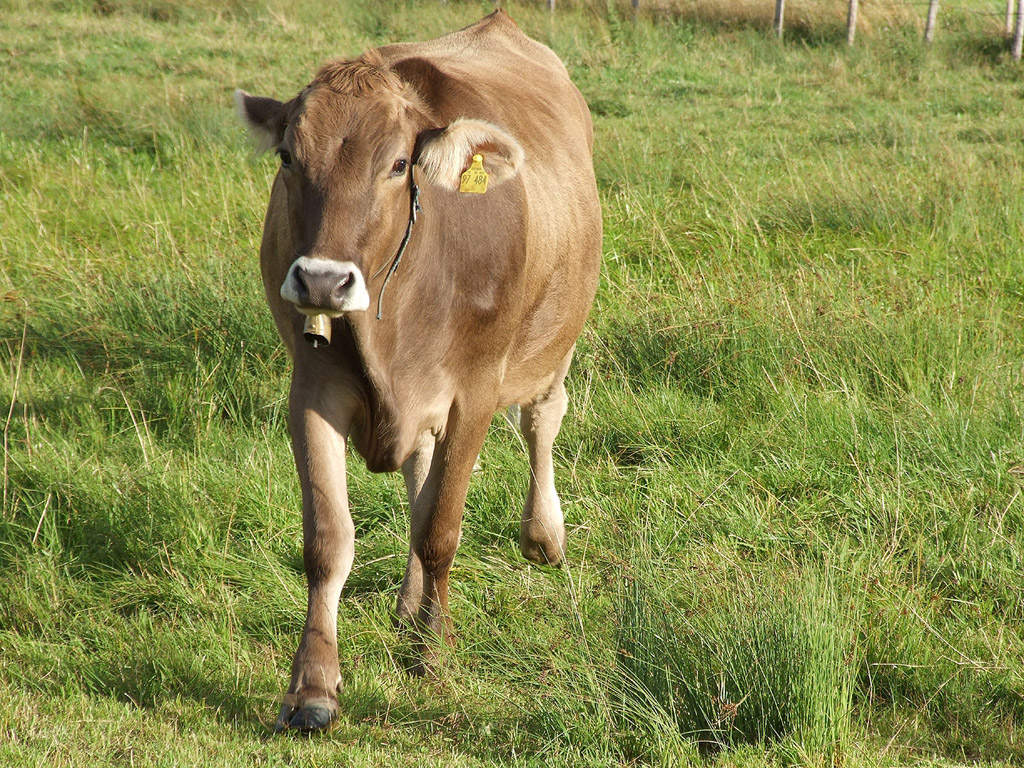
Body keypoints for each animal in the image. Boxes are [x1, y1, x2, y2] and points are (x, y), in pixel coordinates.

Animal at [234, 12, 598, 733]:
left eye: (398, 164)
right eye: (288, 157)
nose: (322, 280)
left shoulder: (475, 391)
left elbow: (440, 529)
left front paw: (434, 654)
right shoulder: (312, 387)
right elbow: (329, 540)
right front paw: (312, 687)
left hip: (556, 335)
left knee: (542, 419)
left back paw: (542, 536)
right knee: (419, 472)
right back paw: (407, 608)